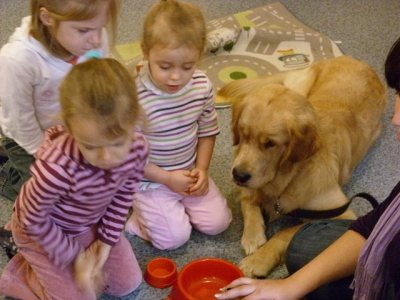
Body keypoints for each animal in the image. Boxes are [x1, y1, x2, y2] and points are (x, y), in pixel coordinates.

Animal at [219, 55, 388, 278]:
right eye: (243, 134)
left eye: (270, 143)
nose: (239, 175)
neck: (287, 178)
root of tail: (353, 59)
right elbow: (248, 200)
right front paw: (253, 235)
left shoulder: (343, 215)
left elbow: (285, 233)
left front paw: (258, 260)